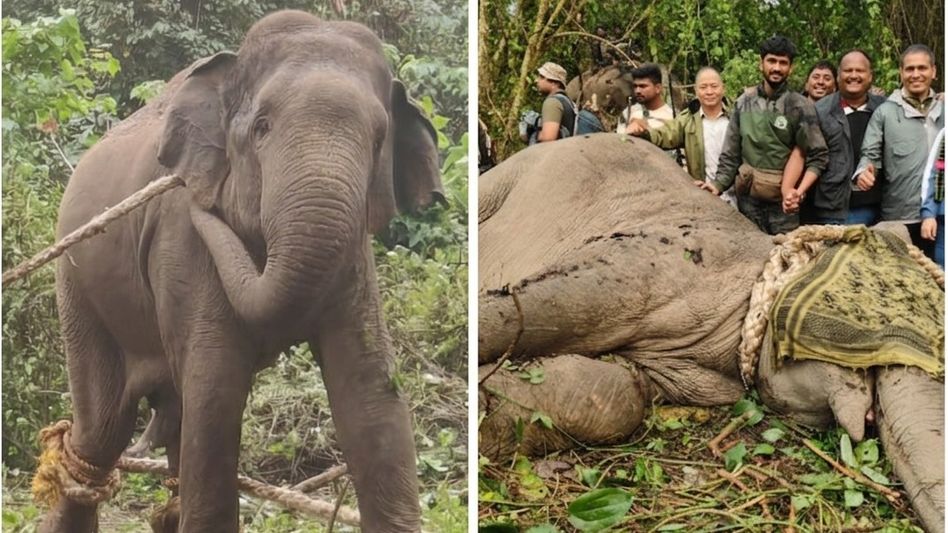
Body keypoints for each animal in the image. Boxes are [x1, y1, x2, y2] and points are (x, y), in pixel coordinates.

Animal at [42, 10, 442, 533]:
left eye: (378, 140)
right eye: (262, 127)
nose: (200, 208)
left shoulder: (354, 257)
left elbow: (372, 392)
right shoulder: (180, 240)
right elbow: (216, 393)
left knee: (169, 416)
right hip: (79, 287)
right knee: (102, 433)